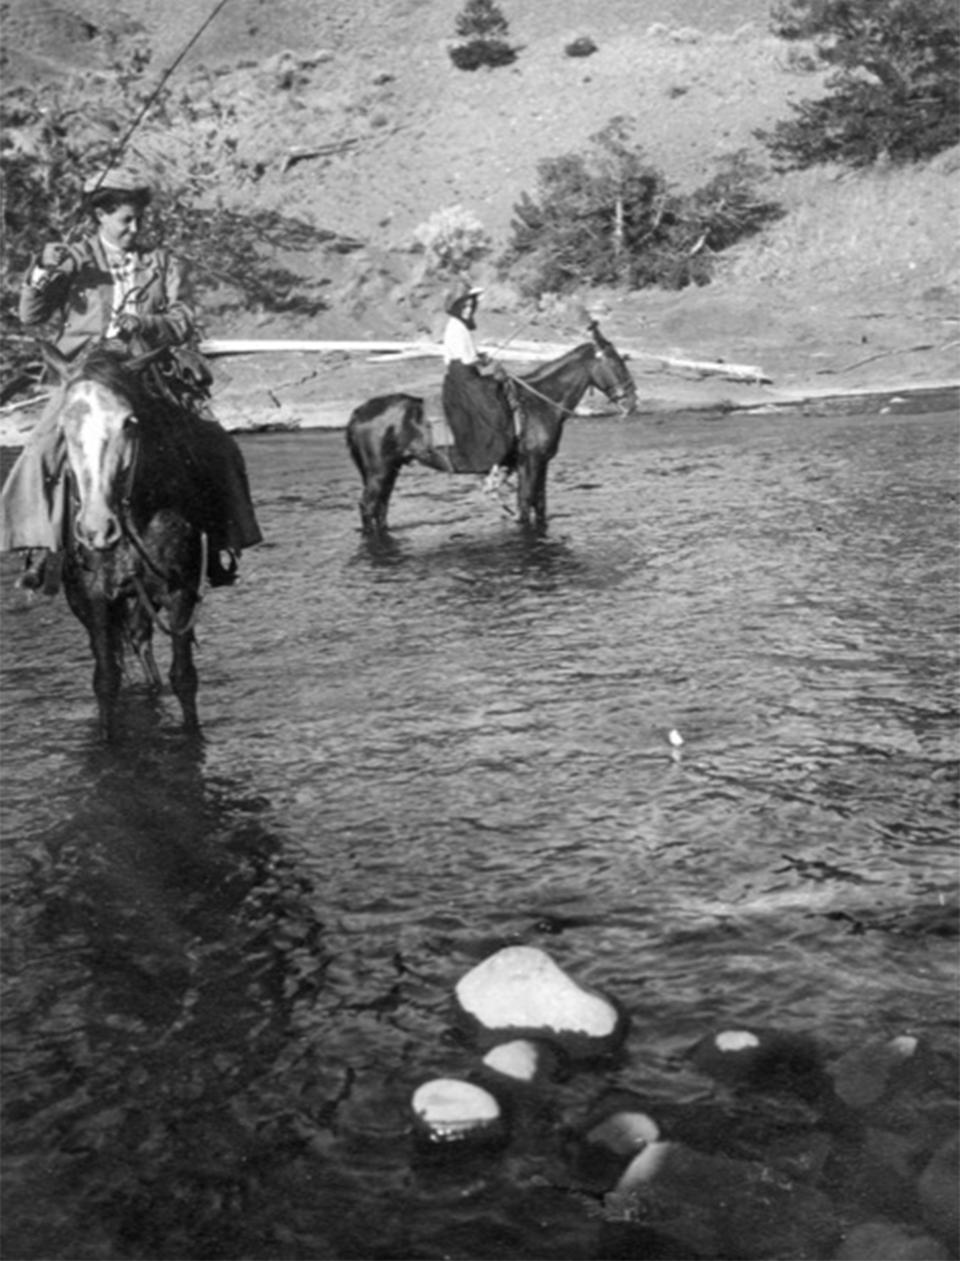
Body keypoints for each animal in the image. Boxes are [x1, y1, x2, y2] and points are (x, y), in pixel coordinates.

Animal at [45, 340, 209, 741]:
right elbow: (106, 680)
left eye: (128, 422)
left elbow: (184, 677)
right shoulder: (97, 600)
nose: (96, 528)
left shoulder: (180, 592)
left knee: (141, 641)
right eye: (63, 428)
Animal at [345, 320, 635, 537]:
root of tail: (359, 412)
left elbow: (539, 505)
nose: (632, 401)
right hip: (378, 472)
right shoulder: (530, 462)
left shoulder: (540, 463)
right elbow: (525, 504)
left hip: (389, 470)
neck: (538, 403)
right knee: (368, 507)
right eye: (616, 361)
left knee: (381, 508)